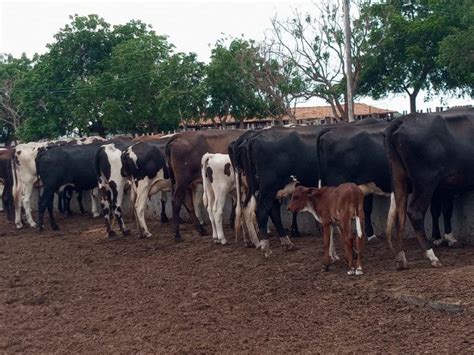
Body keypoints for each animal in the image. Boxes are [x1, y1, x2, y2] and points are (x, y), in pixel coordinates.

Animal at [386, 108, 474, 270]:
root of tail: (404, 119)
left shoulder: (445, 187)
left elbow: (445, 210)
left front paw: (448, 238)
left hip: (399, 178)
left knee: (400, 214)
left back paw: (401, 259)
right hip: (425, 182)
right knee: (415, 212)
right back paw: (432, 255)